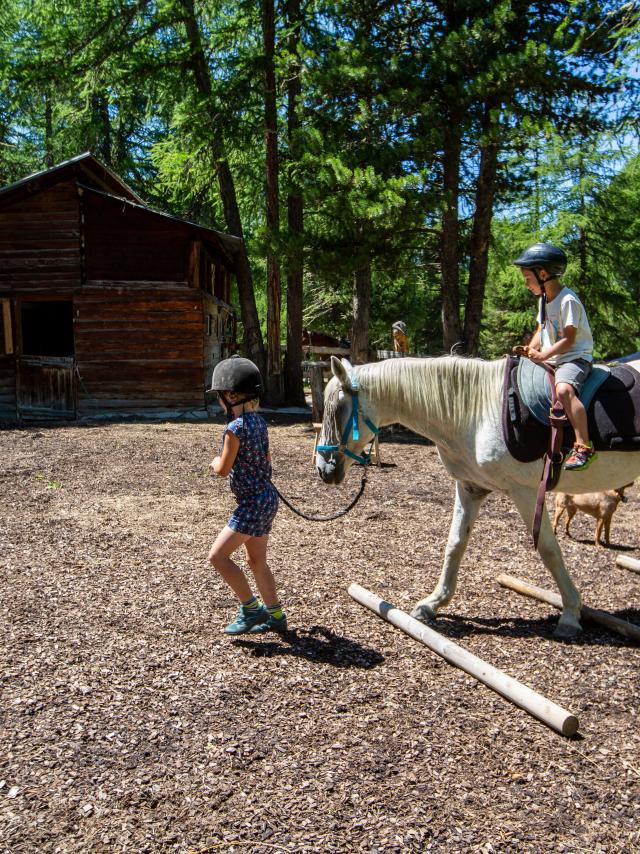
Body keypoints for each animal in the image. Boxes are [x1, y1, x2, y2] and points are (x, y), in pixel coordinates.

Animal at [316, 352, 640, 640]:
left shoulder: (525, 492)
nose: (323, 469)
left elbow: (549, 549)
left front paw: (571, 614)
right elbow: (455, 543)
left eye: (338, 409)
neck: (477, 411)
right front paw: (433, 603)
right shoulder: (469, 487)